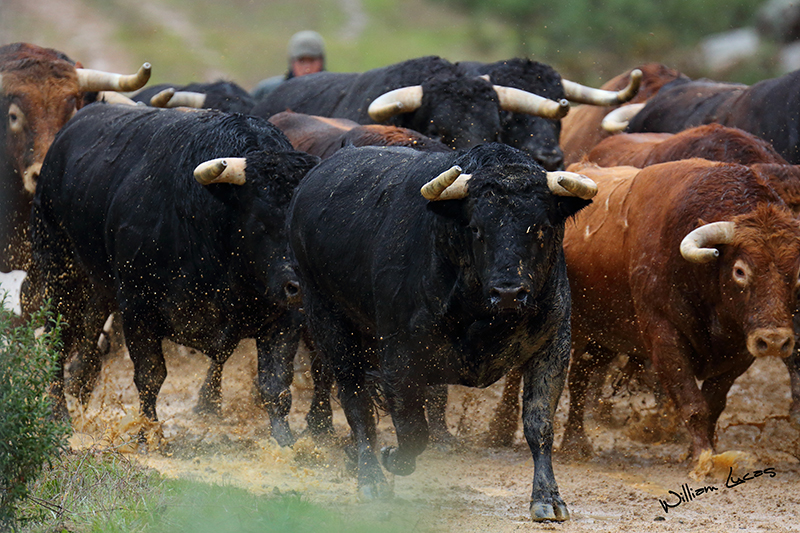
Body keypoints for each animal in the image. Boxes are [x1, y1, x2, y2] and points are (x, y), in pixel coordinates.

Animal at [25, 104, 318, 444]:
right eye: (261, 218)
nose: (299, 286)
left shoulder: (285, 318)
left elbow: (275, 383)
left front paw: (286, 441)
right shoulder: (138, 309)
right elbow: (151, 375)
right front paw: (149, 437)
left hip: (98, 284)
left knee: (90, 323)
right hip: (60, 274)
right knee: (56, 340)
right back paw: (58, 414)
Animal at [288, 141, 592, 520]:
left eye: (542, 227)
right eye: (476, 228)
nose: (509, 293)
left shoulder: (552, 348)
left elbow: (540, 424)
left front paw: (548, 498)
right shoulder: (400, 361)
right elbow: (413, 430)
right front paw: (391, 458)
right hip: (328, 321)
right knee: (355, 401)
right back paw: (371, 479)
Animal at [560, 157, 800, 462]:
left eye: (797, 274)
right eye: (740, 270)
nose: (773, 341)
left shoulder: (740, 352)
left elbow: (713, 405)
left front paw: (700, 452)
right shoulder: (664, 338)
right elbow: (692, 404)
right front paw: (702, 459)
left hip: (604, 338)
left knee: (582, 373)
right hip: (579, 332)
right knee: (575, 381)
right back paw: (572, 443)